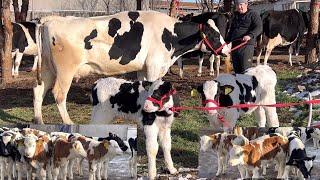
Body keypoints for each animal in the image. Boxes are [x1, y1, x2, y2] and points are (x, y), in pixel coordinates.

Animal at [34, 10, 230, 124]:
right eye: (214, 35)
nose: (227, 49)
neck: (170, 35)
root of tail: (50, 20)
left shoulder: (143, 69)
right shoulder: (154, 66)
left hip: (47, 69)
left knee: (38, 91)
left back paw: (39, 121)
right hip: (65, 71)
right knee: (58, 94)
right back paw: (69, 123)